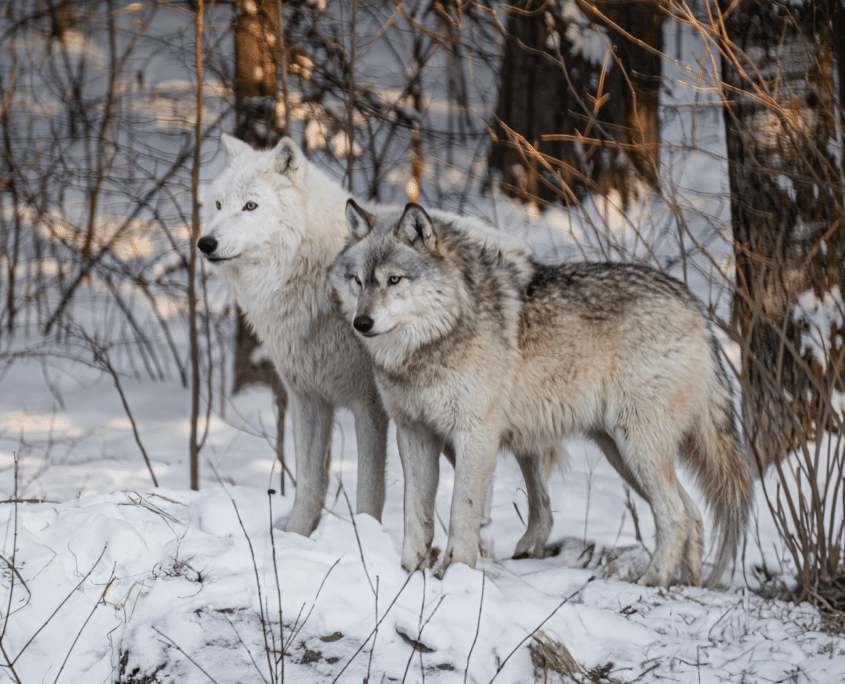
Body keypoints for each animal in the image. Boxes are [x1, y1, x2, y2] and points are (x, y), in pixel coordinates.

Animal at [197, 134, 389, 536]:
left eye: (250, 206)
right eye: (218, 205)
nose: (204, 243)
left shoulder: (369, 405)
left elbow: (369, 491)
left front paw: (365, 536)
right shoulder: (308, 399)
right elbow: (310, 484)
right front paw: (295, 538)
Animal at [331, 200, 754, 588]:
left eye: (394, 280)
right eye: (358, 281)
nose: (361, 322)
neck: (434, 341)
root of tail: (693, 306)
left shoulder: (476, 435)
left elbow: (461, 511)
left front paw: (455, 575)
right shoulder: (414, 432)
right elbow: (414, 515)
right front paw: (409, 571)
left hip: (637, 448)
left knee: (675, 514)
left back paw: (651, 581)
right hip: (621, 453)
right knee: (692, 512)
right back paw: (687, 583)